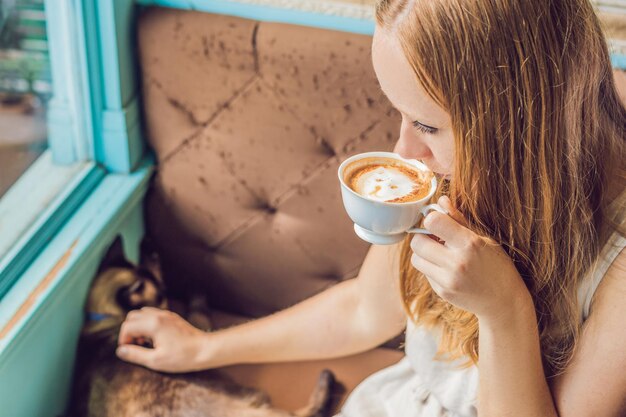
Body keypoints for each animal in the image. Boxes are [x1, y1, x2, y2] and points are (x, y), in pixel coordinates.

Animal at [67, 237, 342, 416]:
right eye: (163, 295)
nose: (168, 300)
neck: (104, 319)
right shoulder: (193, 323)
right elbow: (198, 312)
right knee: (308, 412)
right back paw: (326, 380)